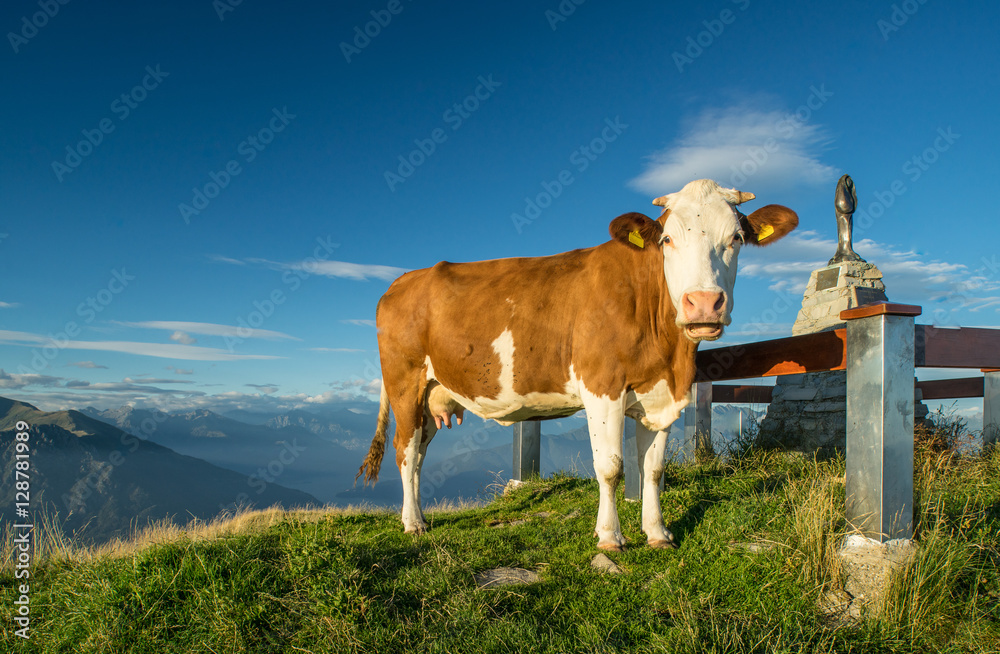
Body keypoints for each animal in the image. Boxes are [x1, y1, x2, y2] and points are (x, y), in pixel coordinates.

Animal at [358, 179, 796, 552]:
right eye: (667, 239)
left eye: (736, 238)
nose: (704, 303)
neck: (671, 357)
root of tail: (402, 280)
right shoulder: (602, 385)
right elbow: (611, 466)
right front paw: (610, 537)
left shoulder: (660, 395)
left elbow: (653, 470)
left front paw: (657, 533)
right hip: (405, 382)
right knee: (405, 452)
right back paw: (412, 523)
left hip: (434, 394)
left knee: (419, 454)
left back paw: (420, 517)